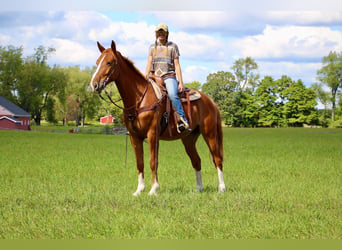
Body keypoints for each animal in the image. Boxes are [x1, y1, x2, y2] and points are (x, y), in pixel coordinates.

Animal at [89, 40, 226, 195]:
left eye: (109, 62)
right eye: (97, 62)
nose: (94, 85)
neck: (139, 99)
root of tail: (210, 101)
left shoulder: (152, 134)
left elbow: (153, 162)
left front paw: (153, 189)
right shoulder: (134, 137)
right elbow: (140, 162)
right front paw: (139, 190)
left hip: (210, 134)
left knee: (217, 159)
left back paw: (221, 188)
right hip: (188, 138)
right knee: (196, 160)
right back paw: (198, 188)